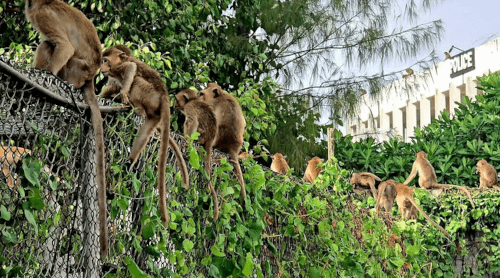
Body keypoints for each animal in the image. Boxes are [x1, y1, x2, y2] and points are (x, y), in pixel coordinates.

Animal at [25, 0, 108, 258]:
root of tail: (90, 77)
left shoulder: (43, 14)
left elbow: (65, 46)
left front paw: (47, 75)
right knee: (47, 44)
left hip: (76, 70)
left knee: (61, 50)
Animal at [101, 45, 189, 227]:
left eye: (106, 60)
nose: (101, 67)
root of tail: (164, 96)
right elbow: (111, 87)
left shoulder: (118, 68)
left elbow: (131, 68)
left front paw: (123, 94)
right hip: (155, 112)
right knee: (145, 131)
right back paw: (129, 163)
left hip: (149, 93)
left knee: (136, 80)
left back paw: (134, 105)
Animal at [173, 89, 218, 222]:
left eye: (176, 99)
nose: (174, 105)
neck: (193, 99)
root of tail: (211, 137)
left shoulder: (189, 108)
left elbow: (192, 121)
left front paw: (187, 139)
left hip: (201, 134)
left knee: (190, 123)